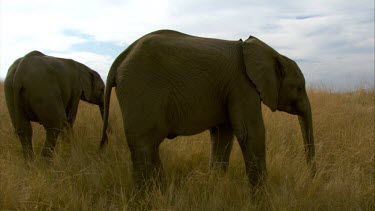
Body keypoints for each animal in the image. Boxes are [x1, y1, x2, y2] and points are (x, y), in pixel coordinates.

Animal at [100, 29, 318, 188]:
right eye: (299, 88)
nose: (312, 177)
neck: (272, 53)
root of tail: (121, 58)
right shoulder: (242, 85)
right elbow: (250, 134)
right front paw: (263, 199)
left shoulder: (229, 89)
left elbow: (223, 135)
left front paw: (215, 186)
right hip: (141, 86)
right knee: (144, 145)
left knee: (148, 145)